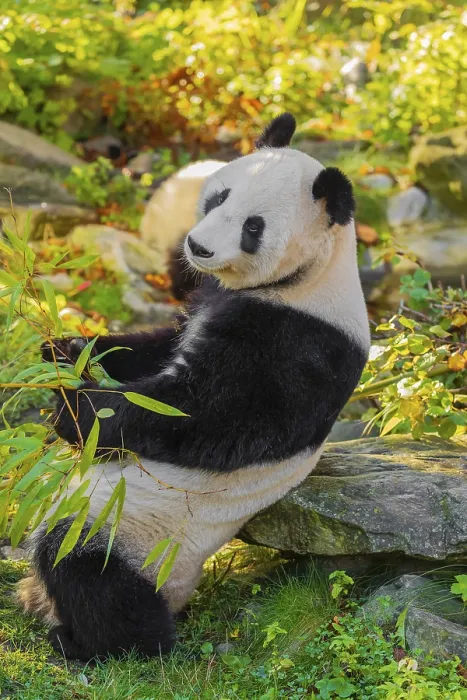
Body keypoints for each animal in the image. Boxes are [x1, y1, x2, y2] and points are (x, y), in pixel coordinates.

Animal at [18, 113, 370, 661]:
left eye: (253, 227)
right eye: (220, 195)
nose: (197, 248)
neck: (307, 279)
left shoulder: (300, 344)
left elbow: (203, 417)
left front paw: (78, 411)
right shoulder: (209, 297)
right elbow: (155, 347)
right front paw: (65, 349)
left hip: (137, 532)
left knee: (87, 569)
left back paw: (103, 643)